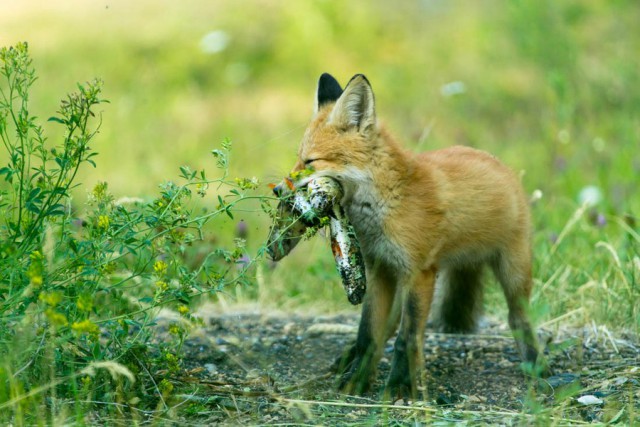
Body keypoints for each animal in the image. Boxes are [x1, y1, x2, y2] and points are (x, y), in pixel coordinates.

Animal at [268, 74, 548, 402]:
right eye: (298, 159)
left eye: (310, 162)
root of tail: (497, 162)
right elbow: (368, 333)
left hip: (513, 270)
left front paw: (400, 387)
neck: (388, 203)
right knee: (388, 325)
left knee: (517, 317)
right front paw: (357, 381)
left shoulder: (420, 272)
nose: (278, 191)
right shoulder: (379, 268)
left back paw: (536, 366)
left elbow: (407, 338)